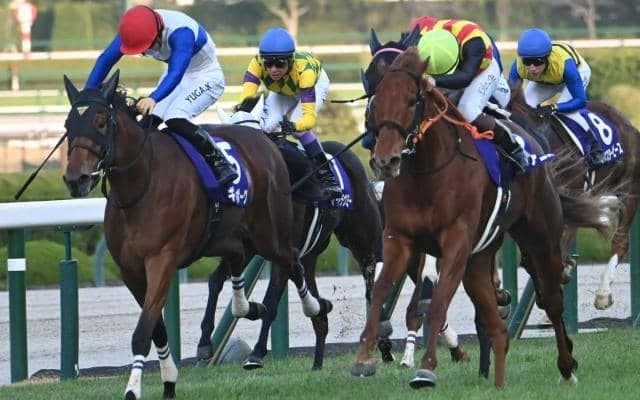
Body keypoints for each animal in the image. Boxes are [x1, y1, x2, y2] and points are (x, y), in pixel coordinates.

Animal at [61, 71, 331, 400]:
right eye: (68, 125)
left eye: (101, 122)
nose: (76, 179)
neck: (141, 185)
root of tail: (265, 141)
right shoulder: (131, 271)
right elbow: (156, 328)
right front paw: (169, 380)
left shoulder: (161, 260)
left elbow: (143, 333)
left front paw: (133, 389)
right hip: (233, 236)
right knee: (239, 263)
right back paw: (246, 308)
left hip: (269, 234)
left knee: (292, 261)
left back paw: (314, 307)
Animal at [350, 47, 617, 388]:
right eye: (374, 103)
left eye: (411, 101)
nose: (386, 160)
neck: (428, 171)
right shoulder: (400, 239)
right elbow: (381, 292)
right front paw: (364, 358)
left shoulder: (455, 241)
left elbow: (437, 303)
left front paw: (426, 368)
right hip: (478, 260)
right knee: (497, 326)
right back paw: (499, 381)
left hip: (540, 237)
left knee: (552, 299)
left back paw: (567, 367)